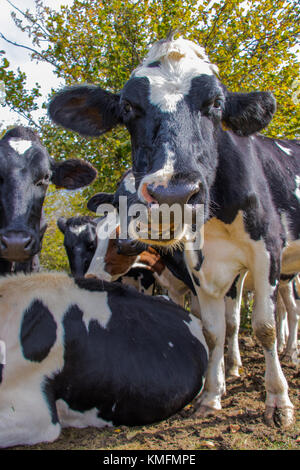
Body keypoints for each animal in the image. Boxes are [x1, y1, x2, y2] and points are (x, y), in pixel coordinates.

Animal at [48, 35, 298, 428]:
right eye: (128, 107)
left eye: (216, 103)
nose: (174, 194)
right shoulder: (200, 267)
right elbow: (212, 330)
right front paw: (211, 396)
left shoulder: (267, 252)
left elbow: (265, 327)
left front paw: (279, 401)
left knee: (289, 310)